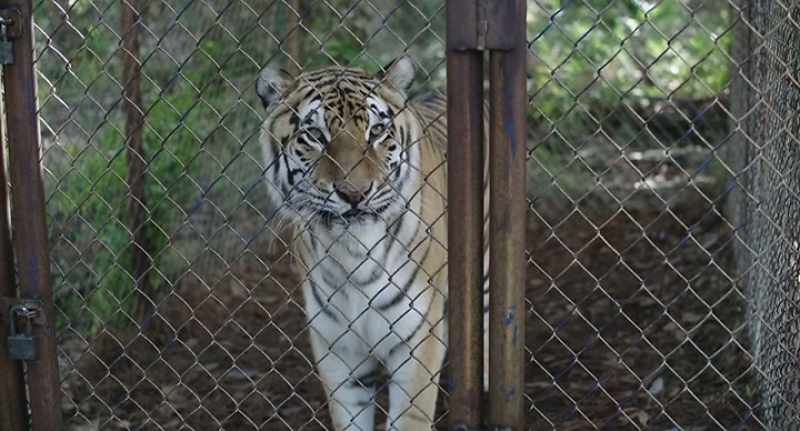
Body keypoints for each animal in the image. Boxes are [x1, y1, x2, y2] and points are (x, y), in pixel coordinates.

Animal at [256, 56, 489, 431]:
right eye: (316, 135)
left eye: (376, 132)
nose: (355, 194)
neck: (353, 252)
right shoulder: (338, 351)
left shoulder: (417, 342)